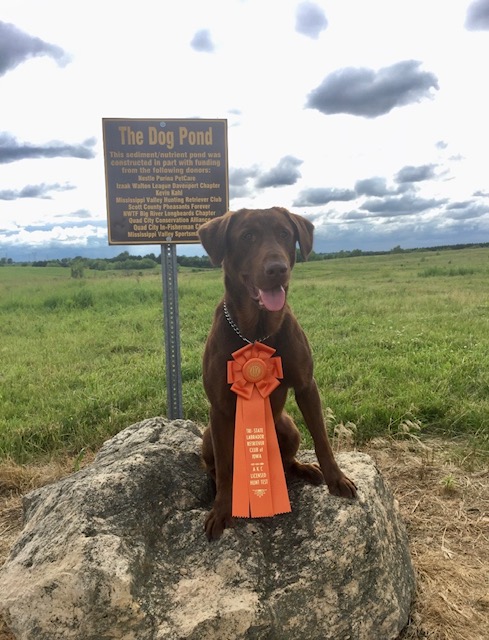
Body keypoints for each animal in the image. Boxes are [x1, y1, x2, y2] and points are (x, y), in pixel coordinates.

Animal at [197, 208, 354, 536]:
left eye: (284, 233)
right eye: (247, 236)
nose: (277, 269)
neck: (256, 332)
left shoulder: (307, 386)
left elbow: (322, 439)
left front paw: (336, 479)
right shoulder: (219, 408)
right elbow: (226, 468)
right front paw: (222, 509)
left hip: (288, 426)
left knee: (285, 461)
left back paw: (305, 469)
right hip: (207, 435)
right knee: (216, 468)